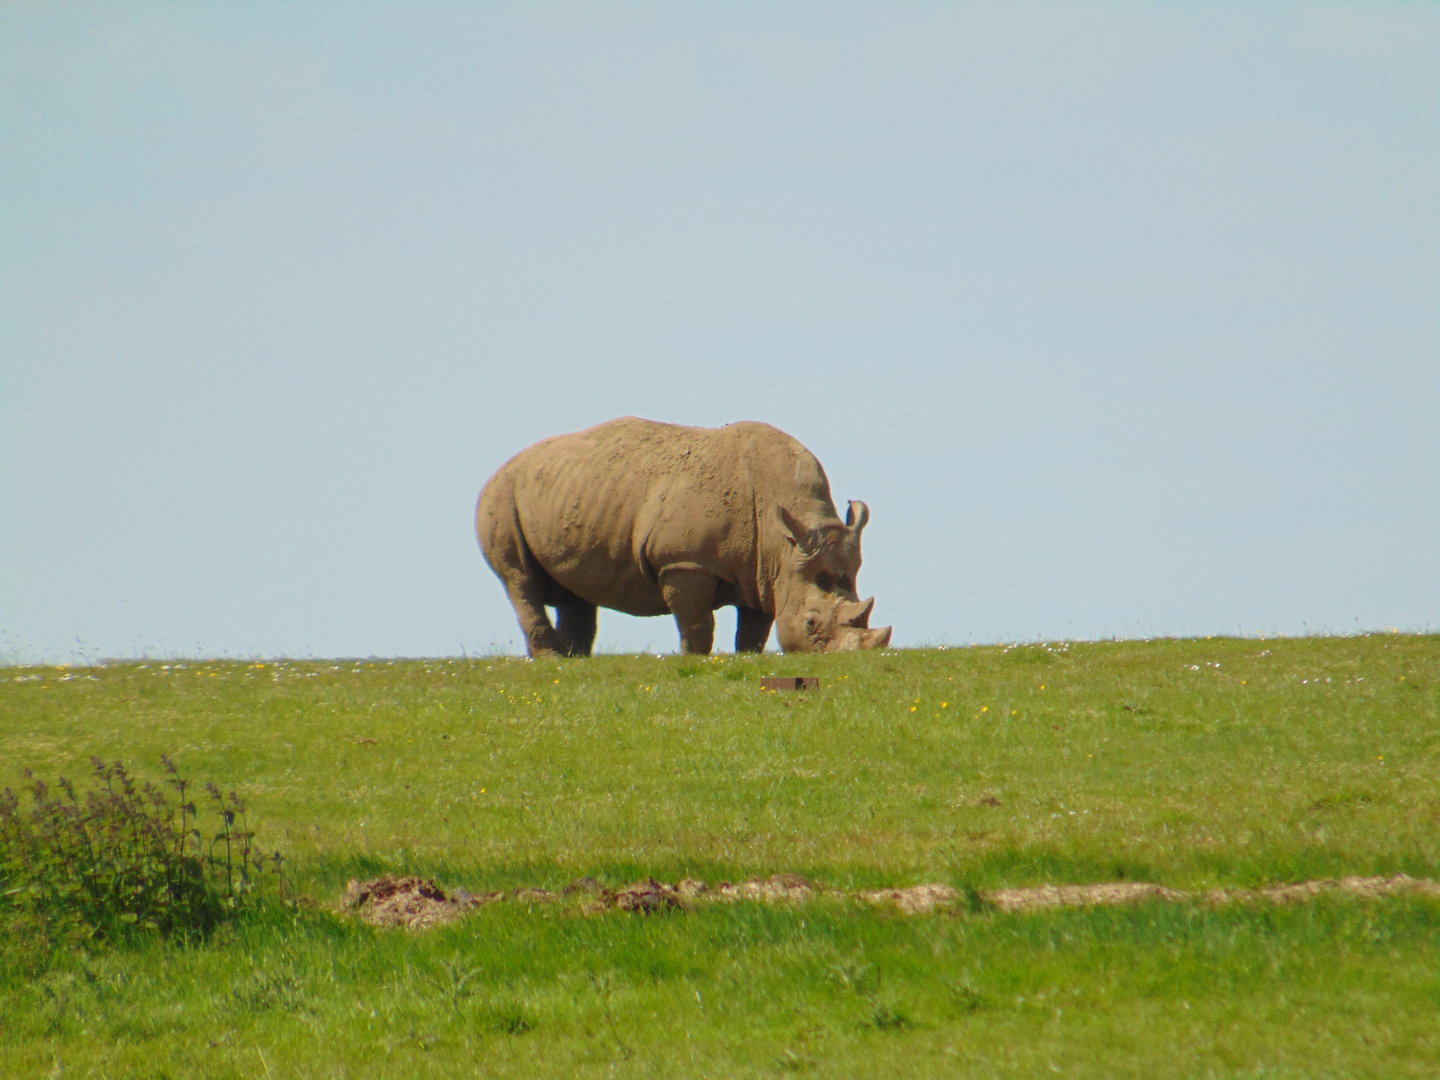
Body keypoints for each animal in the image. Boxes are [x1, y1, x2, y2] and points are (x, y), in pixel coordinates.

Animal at [475, 417, 892, 657]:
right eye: (810, 623)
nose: (854, 658)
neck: (783, 544)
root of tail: (505, 464)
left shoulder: (764, 571)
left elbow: (755, 626)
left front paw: (747, 658)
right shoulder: (684, 561)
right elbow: (696, 623)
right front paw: (695, 660)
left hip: (567, 492)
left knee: (576, 589)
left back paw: (575, 661)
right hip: (500, 495)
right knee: (519, 580)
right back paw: (552, 660)